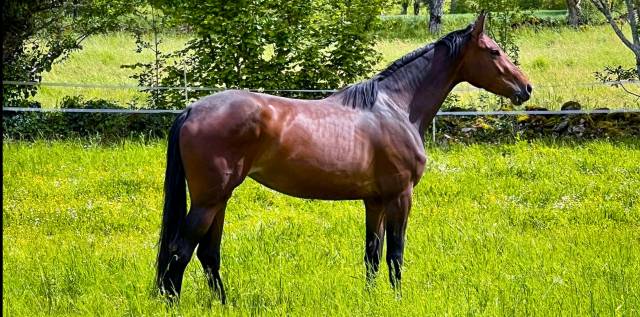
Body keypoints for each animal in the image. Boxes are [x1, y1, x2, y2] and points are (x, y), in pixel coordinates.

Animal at [155, 13, 528, 302]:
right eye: (493, 51)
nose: (526, 88)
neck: (395, 107)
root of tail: (191, 109)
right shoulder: (400, 196)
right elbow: (395, 254)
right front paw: (397, 300)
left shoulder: (375, 201)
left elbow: (372, 255)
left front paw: (372, 299)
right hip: (209, 199)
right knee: (181, 250)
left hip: (218, 199)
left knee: (207, 253)